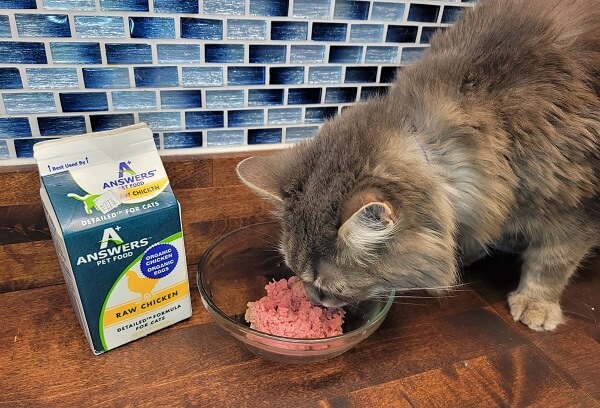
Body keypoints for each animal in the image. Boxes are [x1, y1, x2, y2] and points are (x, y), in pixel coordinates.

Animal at [236, 0, 600, 331]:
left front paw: (536, 302)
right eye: (297, 276)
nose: (311, 300)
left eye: (329, 289)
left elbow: (552, 261)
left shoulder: (576, 209)